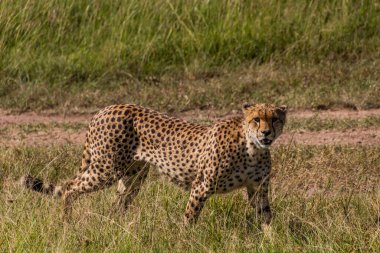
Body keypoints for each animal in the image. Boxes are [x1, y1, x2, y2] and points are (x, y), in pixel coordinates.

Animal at [20, 103, 286, 225]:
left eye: (274, 119)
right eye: (256, 119)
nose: (266, 133)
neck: (252, 148)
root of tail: (106, 108)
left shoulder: (258, 189)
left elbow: (266, 216)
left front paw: (271, 241)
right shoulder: (201, 187)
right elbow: (190, 217)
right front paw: (184, 240)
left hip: (132, 177)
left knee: (117, 204)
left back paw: (115, 226)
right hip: (105, 169)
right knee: (69, 186)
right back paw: (66, 221)